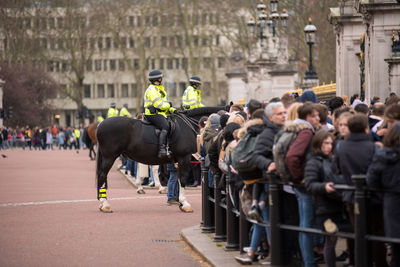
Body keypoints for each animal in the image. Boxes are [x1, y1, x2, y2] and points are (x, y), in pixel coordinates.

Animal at [94, 107, 225, 214]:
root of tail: (100, 124)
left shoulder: (178, 160)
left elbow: (177, 179)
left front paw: (179, 201)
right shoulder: (184, 157)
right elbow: (182, 179)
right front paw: (185, 204)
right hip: (109, 157)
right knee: (102, 176)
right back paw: (105, 204)